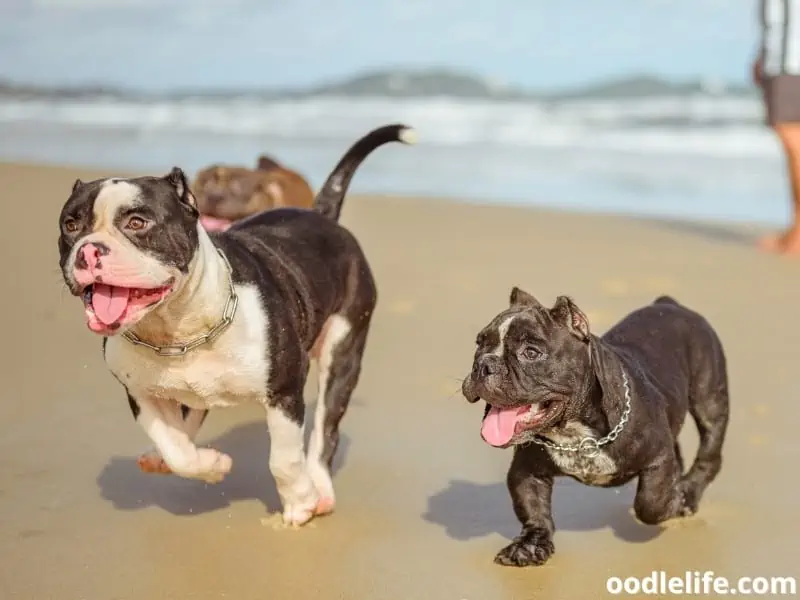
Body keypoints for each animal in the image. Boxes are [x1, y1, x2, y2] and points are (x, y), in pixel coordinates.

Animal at [59, 125, 416, 524]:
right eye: (70, 225)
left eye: (138, 223)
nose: (89, 249)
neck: (177, 325)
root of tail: (322, 216)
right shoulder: (139, 391)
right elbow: (174, 446)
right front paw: (209, 465)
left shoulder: (284, 392)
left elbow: (284, 459)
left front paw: (299, 502)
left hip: (342, 355)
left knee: (325, 431)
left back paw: (320, 490)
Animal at [462, 290, 732, 568]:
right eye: (479, 344)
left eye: (531, 352)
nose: (484, 364)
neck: (574, 432)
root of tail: (669, 304)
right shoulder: (526, 471)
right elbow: (532, 508)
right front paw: (530, 544)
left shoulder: (658, 458)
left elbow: (649, 503)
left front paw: (675, 501)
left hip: (709, 397)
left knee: (710, 449)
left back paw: (688, 492)